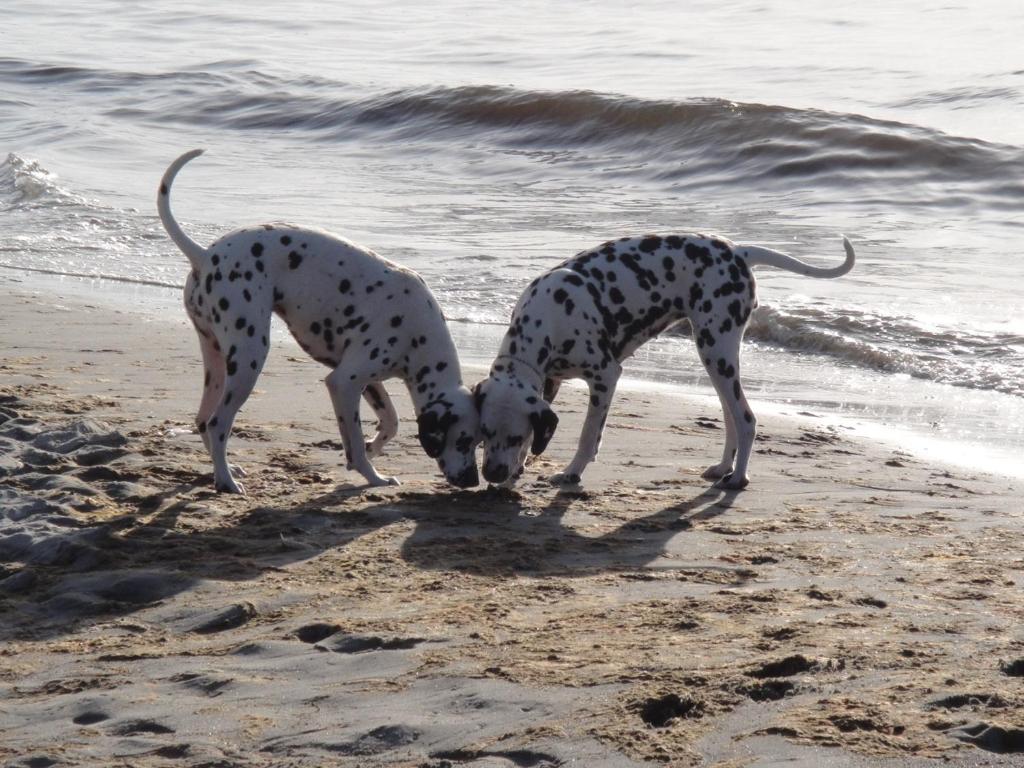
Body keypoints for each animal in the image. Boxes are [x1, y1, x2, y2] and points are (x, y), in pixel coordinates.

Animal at [158, 151, 479, 493]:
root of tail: (203, 255)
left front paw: (370, 448)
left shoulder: (366, 381)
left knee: (203, 421)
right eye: (463, 441)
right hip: (249, 358)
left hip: (216, 362)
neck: (419, 333)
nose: (473, 480)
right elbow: (354, 439)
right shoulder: (344, 382)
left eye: (479, 441)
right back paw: (226, 480)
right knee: (218, 423)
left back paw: (227, 469)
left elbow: (390, 422)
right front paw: (372, 475)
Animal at [477, 231, 856, 493]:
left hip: (716, 350)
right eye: (485, 433)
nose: (492, 473)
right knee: (731, 417)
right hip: (715, 357)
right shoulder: (549, 381)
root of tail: (737, 250)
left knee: (746, 419)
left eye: (514, 435)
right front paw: (516, 473)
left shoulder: (605, 376)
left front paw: (571, 472)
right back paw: (723, 468)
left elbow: (588, 436)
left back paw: (739, 477)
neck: (549, 318)